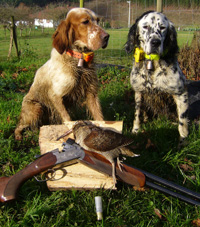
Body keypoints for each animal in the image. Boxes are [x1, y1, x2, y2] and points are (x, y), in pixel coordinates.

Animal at [14, 7, 109, 140]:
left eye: (98, 20)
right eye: (85, 22)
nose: (107, 37)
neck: (78, 59)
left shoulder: (92, 93)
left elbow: (99, 117)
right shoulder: (55, 95)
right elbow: (68, 120)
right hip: (36, 108)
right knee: (18, 126)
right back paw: (18, 136)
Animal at [126, 11, 188, 143]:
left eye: (163, 27)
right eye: (145, 27)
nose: (155, 42)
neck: (152, 63)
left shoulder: (181, 92)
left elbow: (183, 121)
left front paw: (183, 139)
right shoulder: (139, 92)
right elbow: (137, 115)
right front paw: (135, 130)